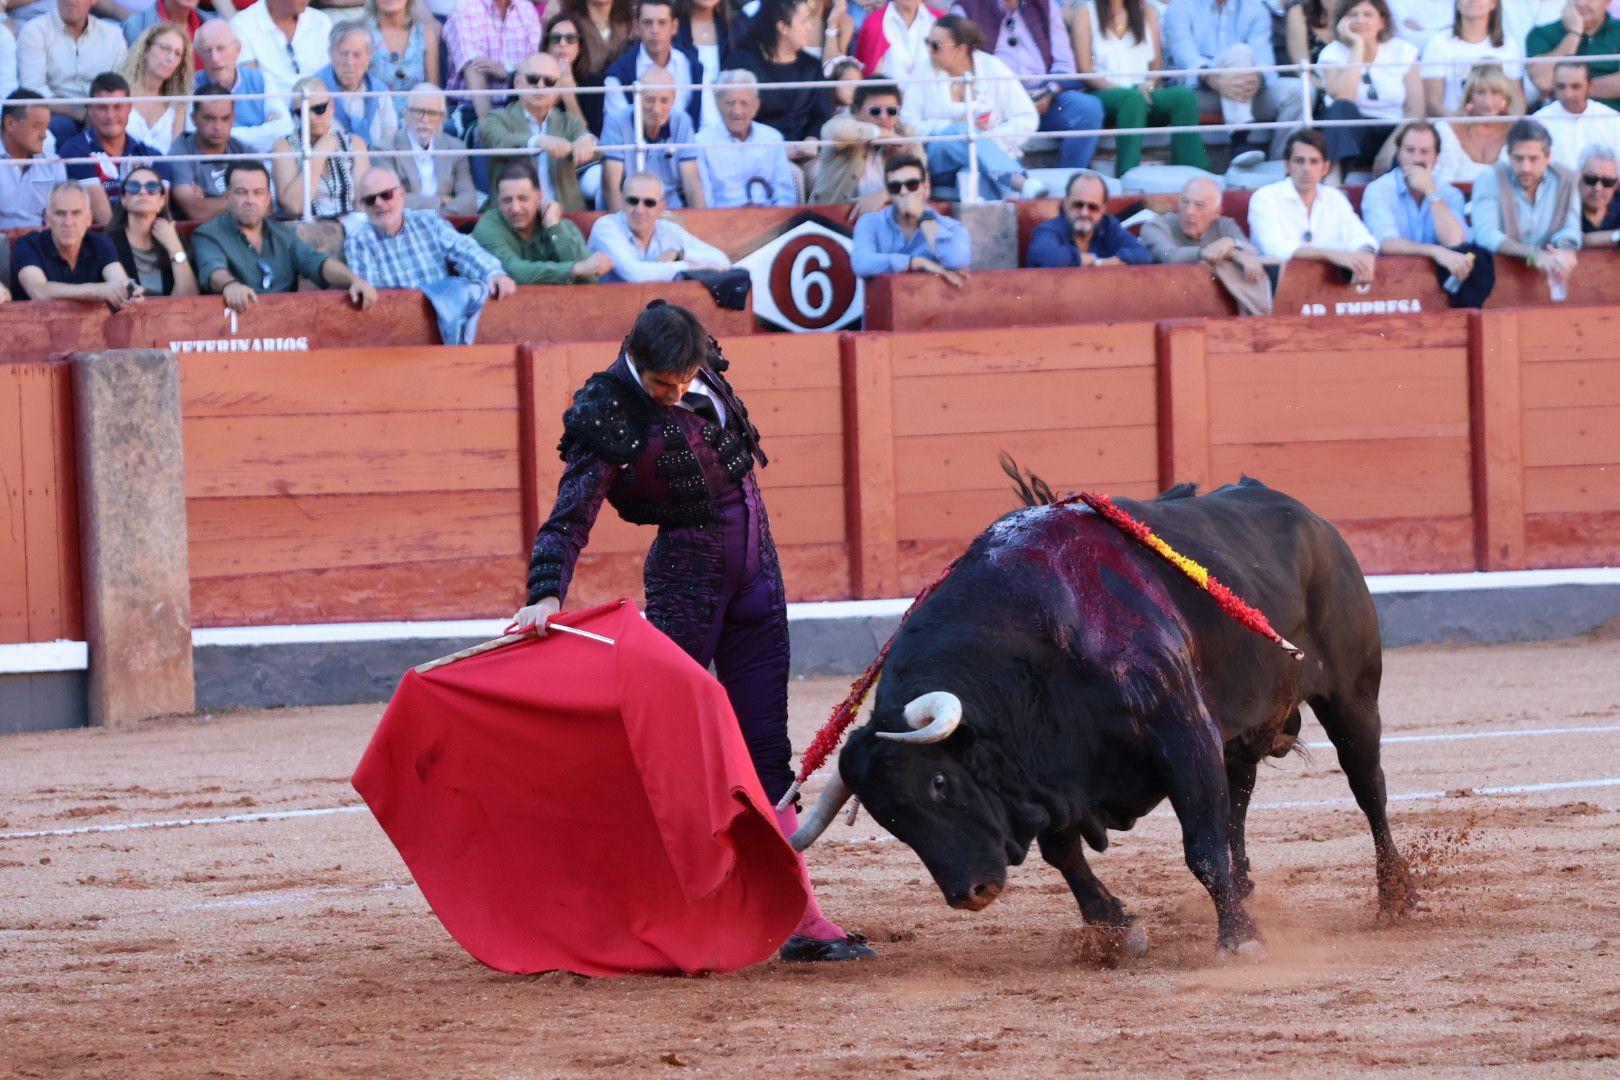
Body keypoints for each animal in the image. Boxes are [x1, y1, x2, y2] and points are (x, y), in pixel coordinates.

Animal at [793, 476, 1419, 958]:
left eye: (940, 783)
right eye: (890, 820)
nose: (970, 892)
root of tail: (1312, 520)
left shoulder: (1183, 733)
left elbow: (1201, 846)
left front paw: (1240, 941)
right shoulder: (1051, 770)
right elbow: (1063, 852)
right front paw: (1116, 929)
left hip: (1352, 697)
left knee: (1368, 787)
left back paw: (1395, 898)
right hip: (1242, 729)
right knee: (1240, 796)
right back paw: (1247, 886)